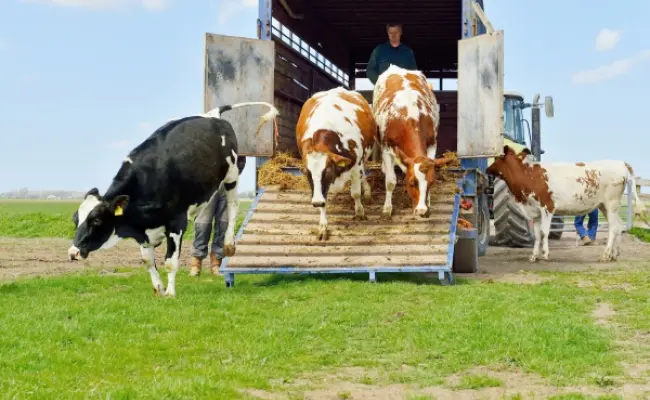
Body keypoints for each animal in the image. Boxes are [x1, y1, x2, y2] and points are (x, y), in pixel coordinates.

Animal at [66, 102, 278, 296]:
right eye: (76, 219)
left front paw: (170, 293)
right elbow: (147, 260)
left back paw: (229, 244)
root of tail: (213, 115)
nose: (72, 253)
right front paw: (158, 289)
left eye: (96, 220)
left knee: (232, 206)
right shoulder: (144, 230)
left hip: (232, 175)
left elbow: (170, 262)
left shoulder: (176, 223)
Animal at [296, 86, 378, 241]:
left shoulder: (356, 165)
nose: (316, 202)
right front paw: (323, 227)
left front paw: (360, 212)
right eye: (308, 174)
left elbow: (355, 193)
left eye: (327, 170)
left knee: (363, 174)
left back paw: (367, 192)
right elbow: (323, 200)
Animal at [370, 64, 446, 219]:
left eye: (431, 182)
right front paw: (387, 208)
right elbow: (390, 181)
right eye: (411, 183)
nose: (422, 211)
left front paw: (428, 203)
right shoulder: (387, 147)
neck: (410, 116)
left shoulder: (432, 144)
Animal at [484, 146, 644, 262]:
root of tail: (620, 163)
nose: (486, 169)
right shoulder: (535, 211)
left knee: (614, 227)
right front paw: (534, 256)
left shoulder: (547, 207)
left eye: (497, 158)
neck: (529, 176)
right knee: (618, 226)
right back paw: (614, 254)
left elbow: (544, 232)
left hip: (611, 203)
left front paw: (545, 254)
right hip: (605, 205)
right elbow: (537, 235)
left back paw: (606, 254)